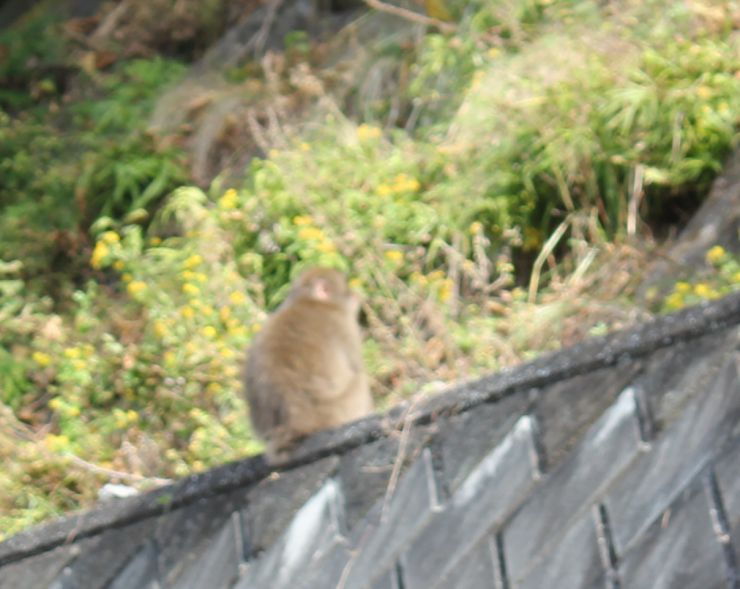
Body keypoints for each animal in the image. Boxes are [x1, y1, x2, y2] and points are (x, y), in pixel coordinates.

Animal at [244, 266, 372, 464]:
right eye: (345, 289)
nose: (353, 295)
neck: (308, 300)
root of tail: (295, 423)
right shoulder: (344, 326)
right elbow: (355, 366)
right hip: (342, 407)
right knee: (359, 378)